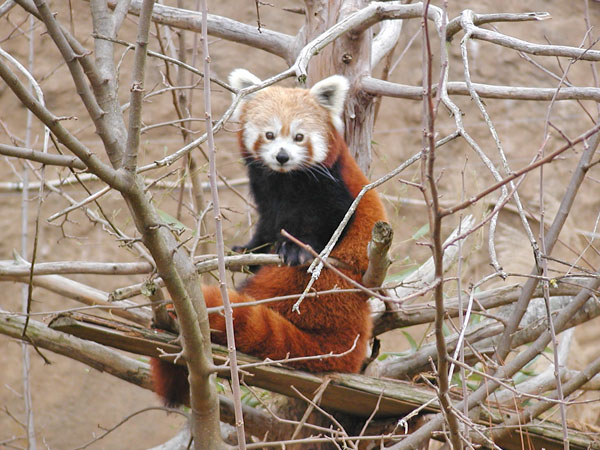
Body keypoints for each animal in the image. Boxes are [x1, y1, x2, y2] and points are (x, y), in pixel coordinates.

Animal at [152, 68, 386, 406]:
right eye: (270, 135)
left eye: (299, 137)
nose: (282, 156)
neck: (286, 180)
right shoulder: (266, 190)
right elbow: (268, 223)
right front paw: (248, 250)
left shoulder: (332, 187)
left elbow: (331, 221)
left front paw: (297, 249)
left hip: (307, 285)